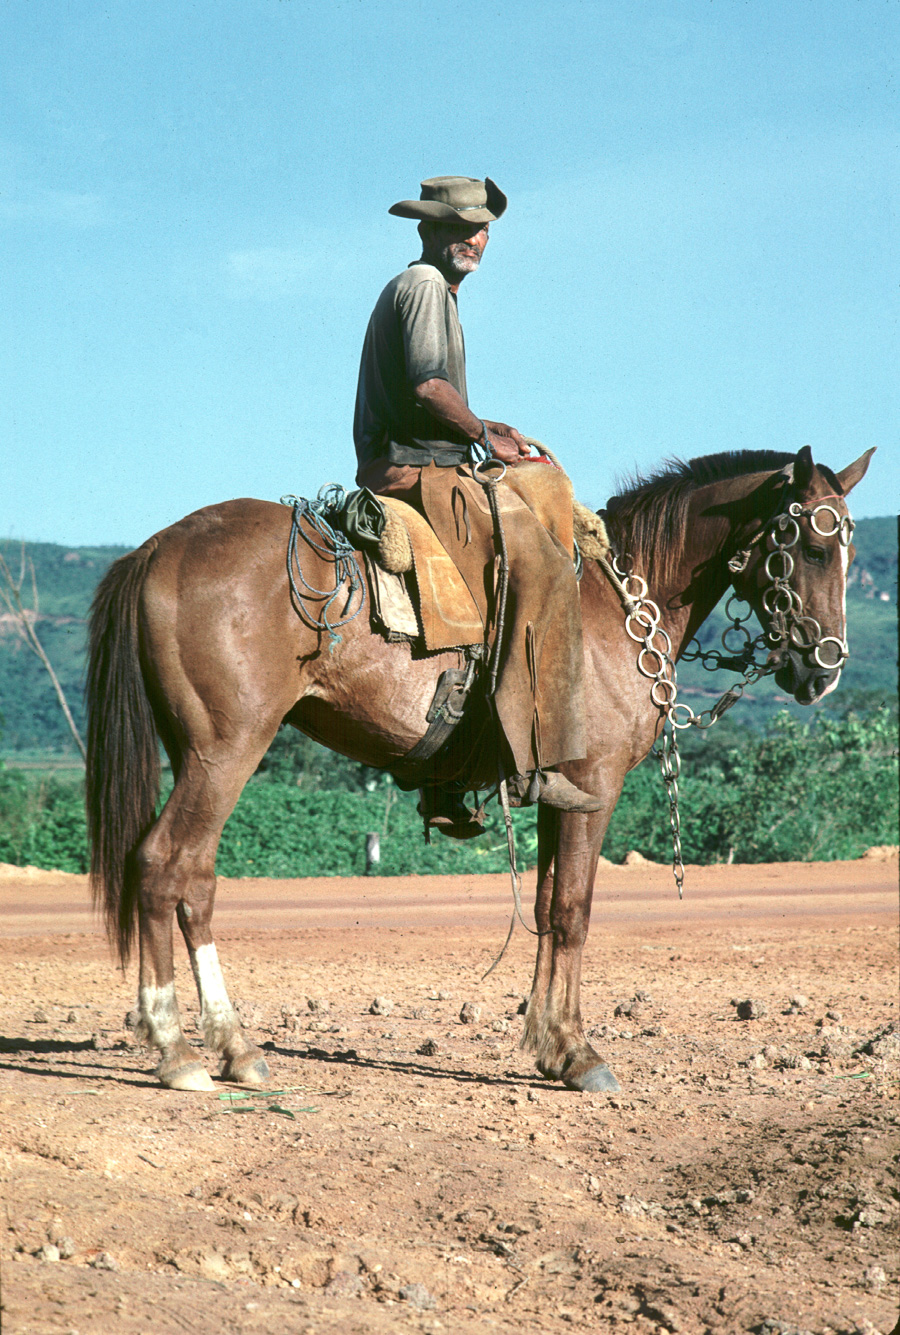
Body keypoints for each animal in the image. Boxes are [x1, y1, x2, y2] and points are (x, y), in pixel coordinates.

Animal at [84, 443, 870, 1089]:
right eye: (810, 546)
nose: (826, 669)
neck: (613, 606)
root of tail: (155, 548)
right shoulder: (596, 788)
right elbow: (575, 911)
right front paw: (579, 1054)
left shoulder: (559, 794)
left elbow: (550, 910)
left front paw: (550, 1044)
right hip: (226, 749)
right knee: (165, 864)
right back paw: (178, 1050)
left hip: (199, 752)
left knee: (193, 879)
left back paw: (234, 1047)